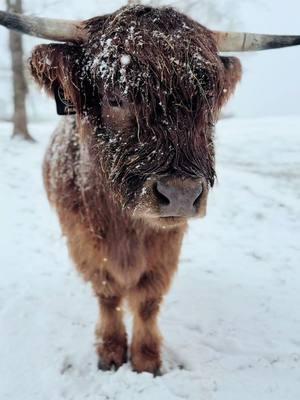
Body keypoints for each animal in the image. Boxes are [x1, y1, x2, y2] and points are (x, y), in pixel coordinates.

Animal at [1, 4, 298, 374]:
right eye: (115, 97)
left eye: (208, 100)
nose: (181, 194)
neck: (123, 224)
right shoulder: (83, 239)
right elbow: (108, 294)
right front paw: (111, 351)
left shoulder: (166, 244)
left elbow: (147, 298)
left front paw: (146, 359)